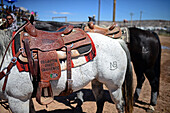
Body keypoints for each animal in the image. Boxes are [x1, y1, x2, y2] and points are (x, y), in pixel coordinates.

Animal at [0, 29, 133, 113]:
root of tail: (116, 41)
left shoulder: (17, 99)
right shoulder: (25, 99)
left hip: (114, 86)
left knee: (120, 105)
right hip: (97, 81)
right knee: (100, 101)